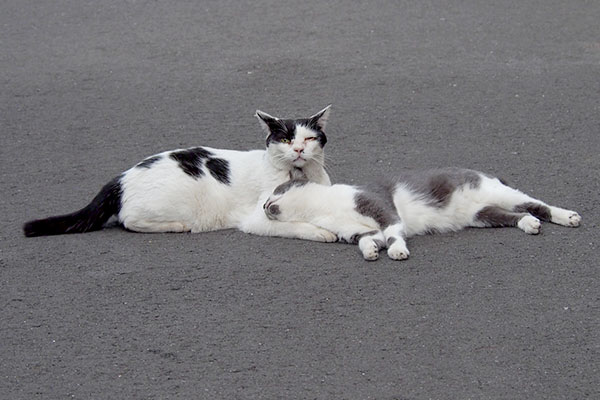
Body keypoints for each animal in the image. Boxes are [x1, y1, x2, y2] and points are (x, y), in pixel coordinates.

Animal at [23, 105, 338, 244]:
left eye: (309, 138)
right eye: (285, 140)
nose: (298, 149)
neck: (299, 175)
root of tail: (120, 177)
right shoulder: (257, 218)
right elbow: (294, 225)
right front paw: (321, 232)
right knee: (129, 220)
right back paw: (178, 226)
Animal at [262, 167, 580, 260]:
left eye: (274, 192)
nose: (264, 205)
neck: (324, 208)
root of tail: (484, 173)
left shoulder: (378, 205)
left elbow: (393, 232)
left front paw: (397, 251)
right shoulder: (359, 231)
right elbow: (367, 240)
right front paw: (371, 252)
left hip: (500, 194)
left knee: (536, 203)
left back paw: (568, 217)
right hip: (483, 215)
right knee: (515, 215)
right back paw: (529, 224)